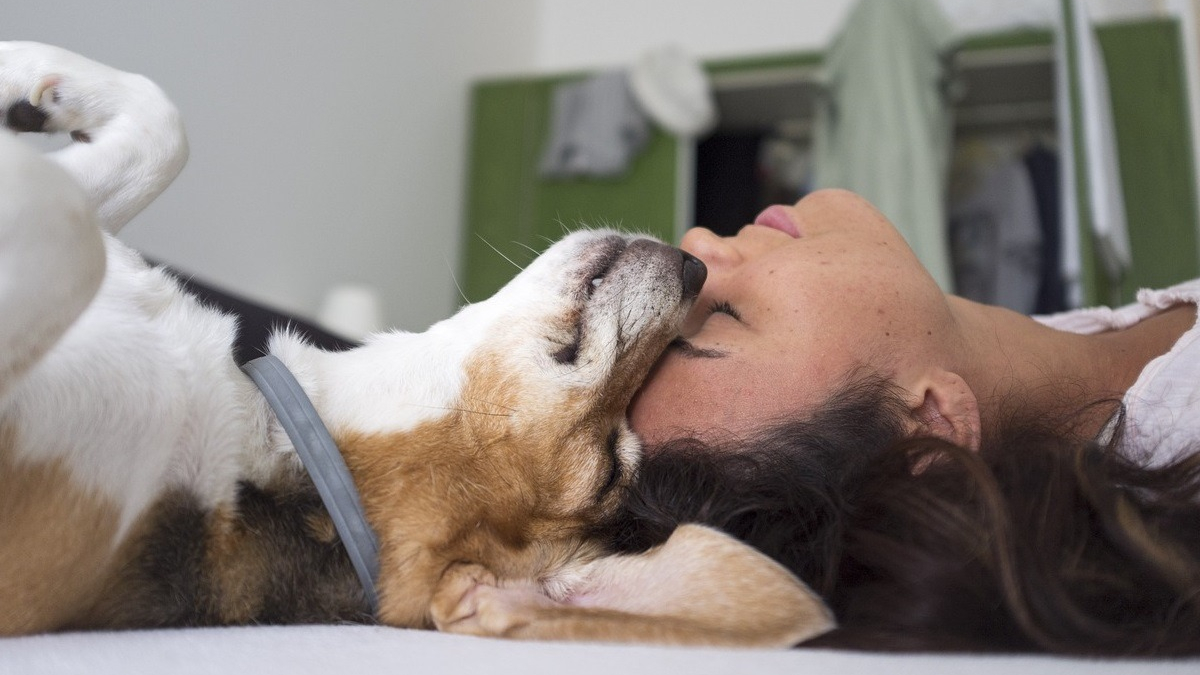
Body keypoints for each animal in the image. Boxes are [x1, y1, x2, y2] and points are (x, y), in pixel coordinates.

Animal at [0, 40, 835, 638]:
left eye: (609, 465)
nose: (698, 267)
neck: (284, 430)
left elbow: (66, 221)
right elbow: (162, 127)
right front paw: (28, 71)